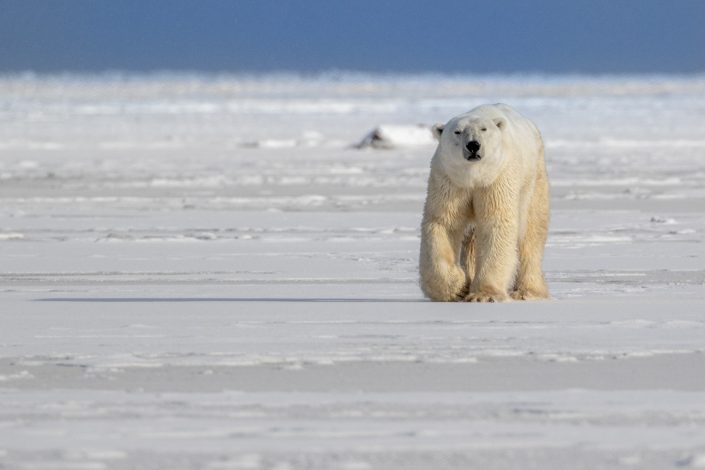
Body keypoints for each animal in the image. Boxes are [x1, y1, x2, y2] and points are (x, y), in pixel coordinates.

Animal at [420, 103, 548, 302]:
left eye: (483, 129)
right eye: (457, 131)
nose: (473, 145)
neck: (475, 176)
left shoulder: (497, 179)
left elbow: (495, 224)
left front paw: (484, 295)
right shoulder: (450, 181)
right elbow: (444, 223)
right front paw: (457, 288)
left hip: (533, 180)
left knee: (532, 232)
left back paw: (527, 291)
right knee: (471, 239)